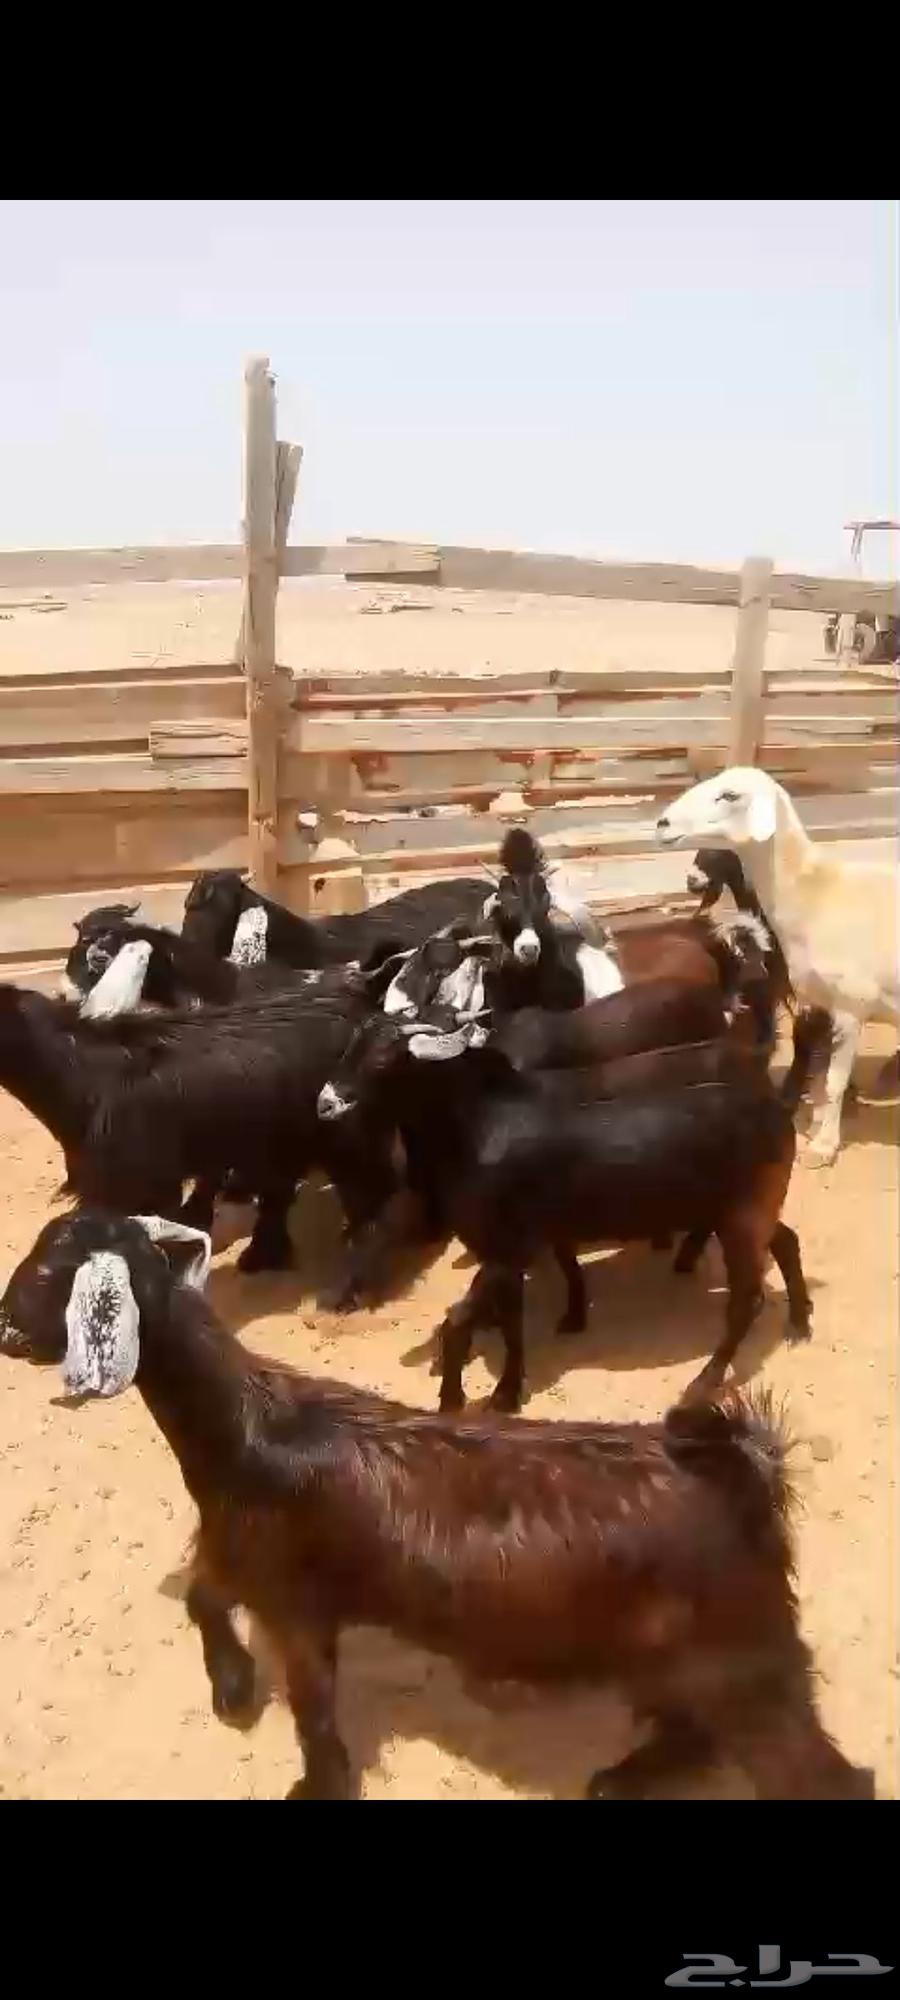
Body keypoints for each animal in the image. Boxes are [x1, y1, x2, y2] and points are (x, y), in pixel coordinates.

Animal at [0, 1207, 873, 1802]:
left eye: (48, 1273)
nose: (6, 1331)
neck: (247, 1430)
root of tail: (744, 1470)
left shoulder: (291, 1598)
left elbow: (313, 1710)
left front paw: (312, 1779)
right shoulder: (241, 1552)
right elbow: (201, 1599)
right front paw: (233, 1688)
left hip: (741, 1660)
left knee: (824, 1776)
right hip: (682, 1655)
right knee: (693, 1728)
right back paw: (625, 1775)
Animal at [317, 1011, 816, 1412]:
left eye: (382, 1059)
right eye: (348, 1048)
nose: (326, 1103)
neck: (481, 1126)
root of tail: (777, 1106)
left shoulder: (507, 1251)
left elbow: (462, 1321)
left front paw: (478, 1397)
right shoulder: (509, 1253)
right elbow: (504, 1319)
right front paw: (496, 1389)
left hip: (741, 1220)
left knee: (746, 1300)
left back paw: (703, 1382)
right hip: (748, 1212)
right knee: (786, 1241)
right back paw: (799, 1320)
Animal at [658, 766, 900, 1163]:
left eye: (730, 795)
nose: (662, 823)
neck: (816, 894)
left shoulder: (851, 1005)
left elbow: (833, 1081)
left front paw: (823, 1146)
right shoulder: (815, 997)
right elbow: (814, 1066)